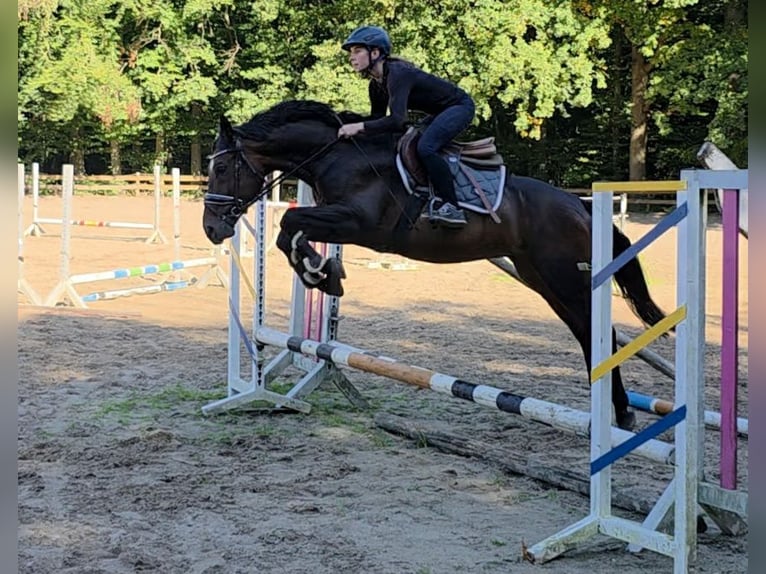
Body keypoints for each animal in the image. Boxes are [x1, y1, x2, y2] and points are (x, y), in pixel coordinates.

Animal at [202, 99, 667, 431]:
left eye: (222, 166)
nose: (211, 228)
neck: (336, 157)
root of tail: (578, 204)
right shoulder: (338, 220)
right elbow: (288, 234)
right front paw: (323, 273)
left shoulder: (358, 222)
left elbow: (288, 224)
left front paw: (321, 272)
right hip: (543, 279)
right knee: (588, 333)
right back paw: (615, 411)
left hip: (563, 276)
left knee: (599, 332)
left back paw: (618, 412)